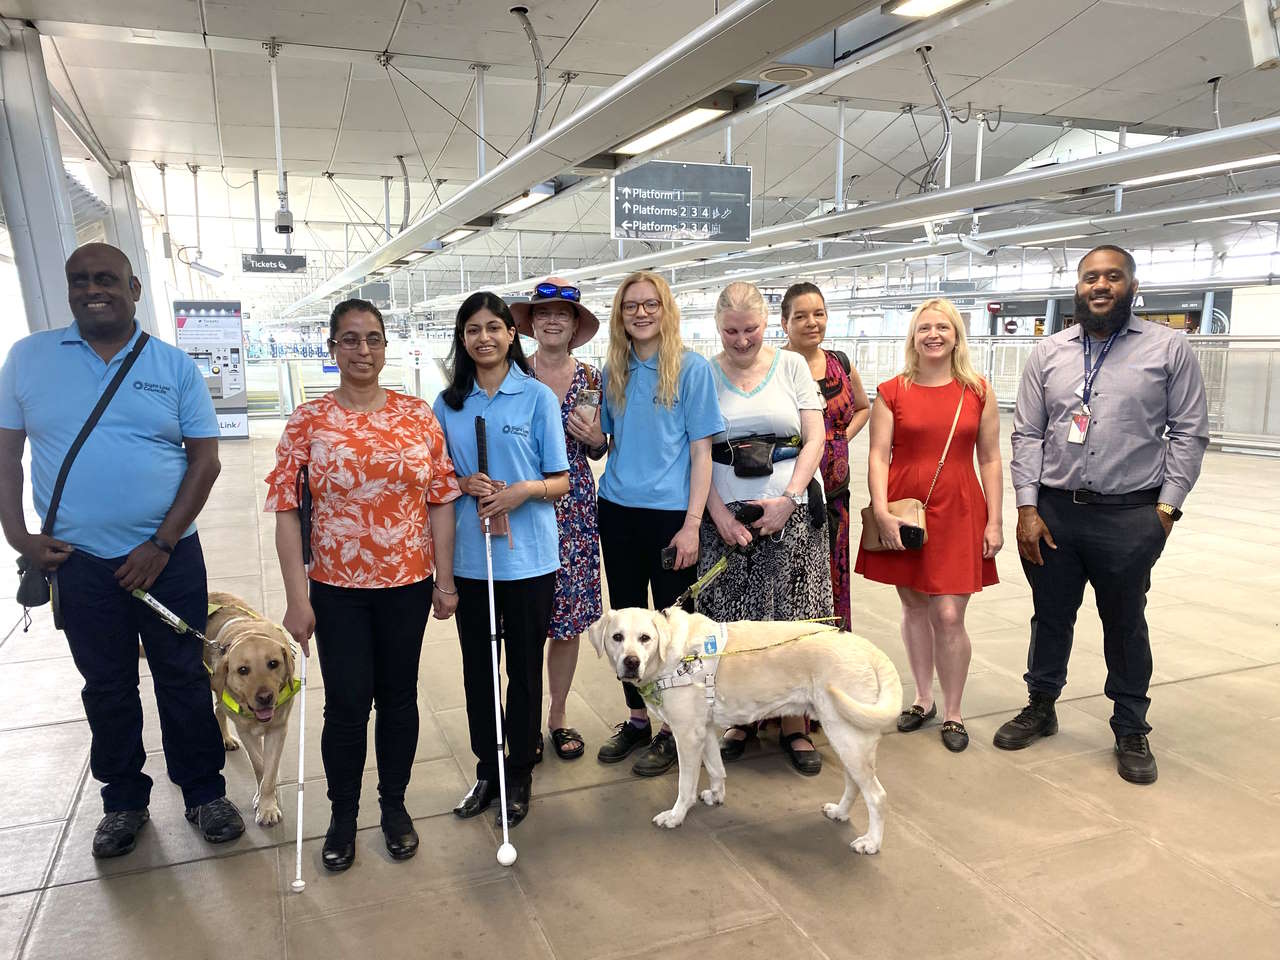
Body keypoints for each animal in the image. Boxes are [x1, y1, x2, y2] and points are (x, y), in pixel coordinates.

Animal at [204, 593, 299, 829]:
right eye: (243, 670)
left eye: (273, 663)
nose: (265, 698)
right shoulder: (246, 731)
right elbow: (259, 766)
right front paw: (264, 800)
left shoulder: (278, 730)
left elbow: (270, 771)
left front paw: (267, 806)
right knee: (219, 708)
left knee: (218, 708)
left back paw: (226, 738)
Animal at [588, 611, 901, 855]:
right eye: (617, 637)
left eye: (645, 638)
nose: (630, 662)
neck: (674, 658)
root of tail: (868, 647)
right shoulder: (705, 731)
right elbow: (717, 769)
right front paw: (716, 795)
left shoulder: (687, 735)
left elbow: (684, 786)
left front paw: (676, 816)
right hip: (847, 738)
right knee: (854, 784)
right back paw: (840, 812)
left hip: (848, 737)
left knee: (877, 796)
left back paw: (871, 842)